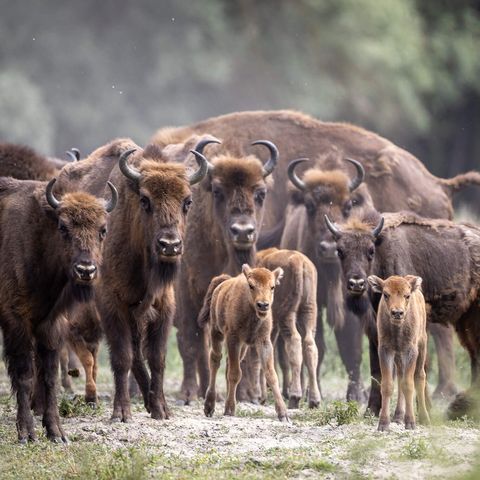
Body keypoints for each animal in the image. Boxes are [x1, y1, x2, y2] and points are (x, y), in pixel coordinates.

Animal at [0, 176, 117, 442]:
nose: (86, 270)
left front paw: (56, 433)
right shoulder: (16, 321)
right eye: (64, 227)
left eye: (103, 230)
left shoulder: (52, 324)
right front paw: (26, 434)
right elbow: (24, 375)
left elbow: (49, 376)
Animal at [198, 262, 286, 420]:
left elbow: (271, 374)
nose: (263, 305)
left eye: (272, 287)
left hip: (243, 346)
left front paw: (283, 414)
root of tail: (222, 284)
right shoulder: (233, 339)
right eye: (251, 285)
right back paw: (209, 406)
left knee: (228, 364)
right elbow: (235, 374)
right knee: (215, 360)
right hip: (216, 333)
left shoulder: (264, 341)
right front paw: (229, 410)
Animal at [256, 248, 320, 408]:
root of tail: (299, 261)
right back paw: (314, 400)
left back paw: (294, 396)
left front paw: (261, 396)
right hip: (309, 310)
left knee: (294, 341)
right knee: (309, 345)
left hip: (287, 314)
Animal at [324, 210, 480, 416]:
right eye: (340, 251)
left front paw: (423, 410)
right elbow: (376, 369)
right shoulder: (376, 329)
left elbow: (418, 367)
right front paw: (371, 410)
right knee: (475, 354)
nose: (356, 283)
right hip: (465, 320)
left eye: (370, 251)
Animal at [368, 274, 432, 432]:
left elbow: (408, 385)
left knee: (419, 377)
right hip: (399, 357)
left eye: (407, 295)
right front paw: (383, 424)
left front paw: (410, 423)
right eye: (385, 294)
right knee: (400, 378)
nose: (397, 312)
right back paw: (398, 417)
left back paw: (424, 418)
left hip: (422, 345)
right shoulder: (385, 351)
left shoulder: (411, 351)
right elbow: (387, 385)